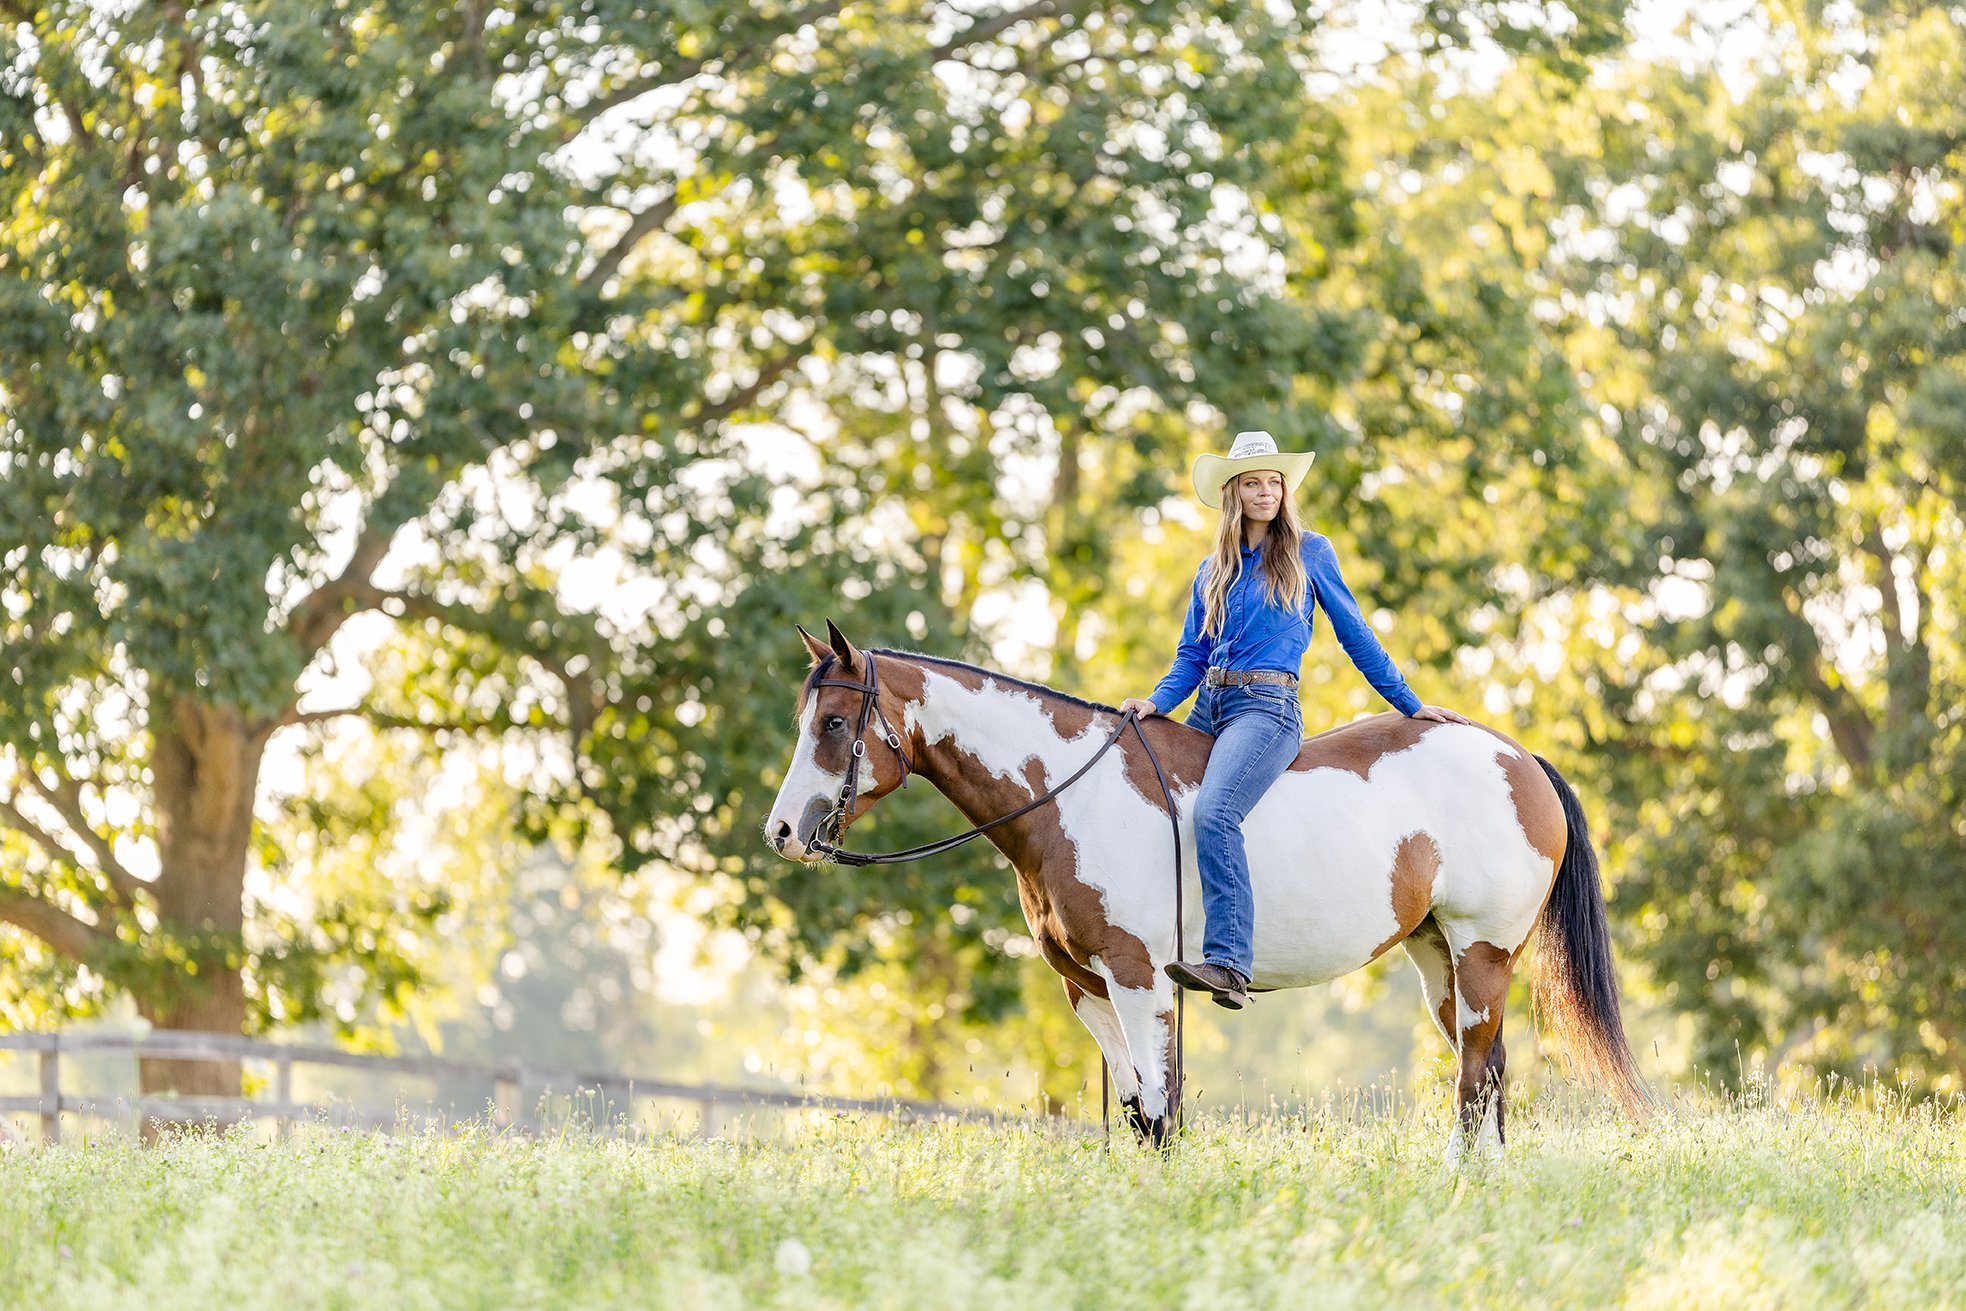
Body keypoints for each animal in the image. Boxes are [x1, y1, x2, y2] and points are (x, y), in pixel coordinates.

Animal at [758, 621, 1651, 1155]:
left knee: (1474, 1079)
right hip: (1438, 957)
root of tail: (1518, 757)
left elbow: (1160, 1107)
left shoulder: (1139, 975)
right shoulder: (1086, 985)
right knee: (1488, 1068)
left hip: (1483, 951)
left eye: (833, 724)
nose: (783, 832)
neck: (1072, 796)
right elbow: (1135, 1109)